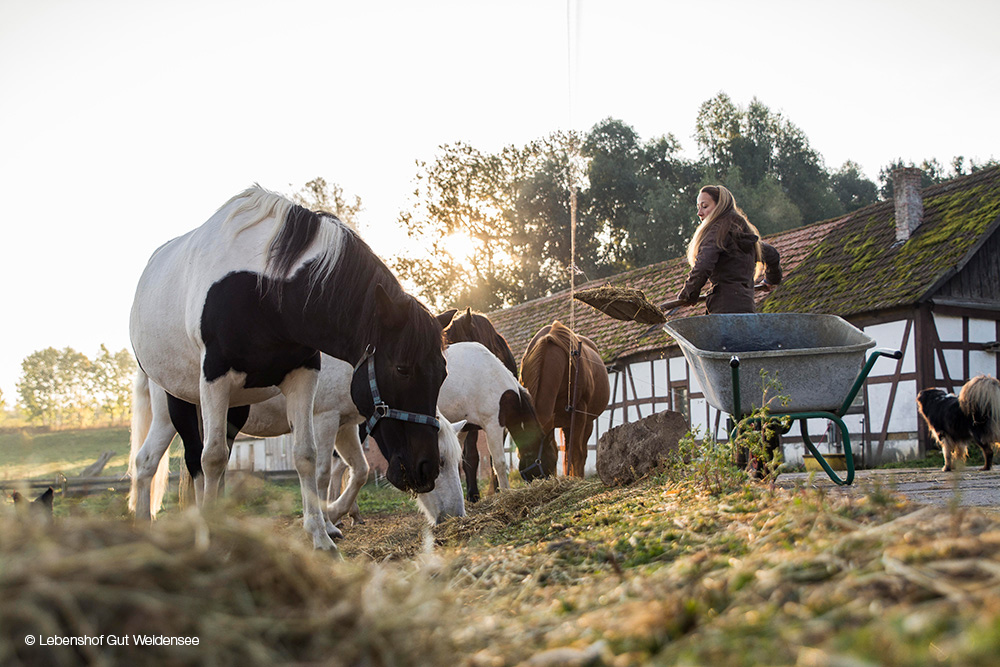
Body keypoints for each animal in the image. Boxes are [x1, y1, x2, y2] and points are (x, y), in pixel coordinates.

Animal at [128, 185, 446, 552]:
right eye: (402, 369)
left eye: (443, 374)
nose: (425, 470)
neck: (268, 291)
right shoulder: (220, 380)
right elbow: (216, 458)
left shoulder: (307, 380)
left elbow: (313, 458)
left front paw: (322, 537)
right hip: (177, 403)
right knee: (169, 461)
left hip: (234, 408)